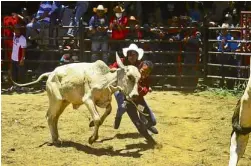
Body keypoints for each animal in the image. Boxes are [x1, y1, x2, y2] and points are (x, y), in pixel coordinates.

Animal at [12, 53, 141, 145]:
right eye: (129, 77)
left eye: (139, 78)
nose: (135, 95)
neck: (103, 78)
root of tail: (51, 73)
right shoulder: (88, 100)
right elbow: (97, 118)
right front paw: (92, 138)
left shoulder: (104, 100)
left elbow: (108, 111)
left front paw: (91, 124)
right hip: (56, 101)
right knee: (50, 117)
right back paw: (55, 140)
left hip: (64, 102)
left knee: (55, 118)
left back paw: (57, 138)